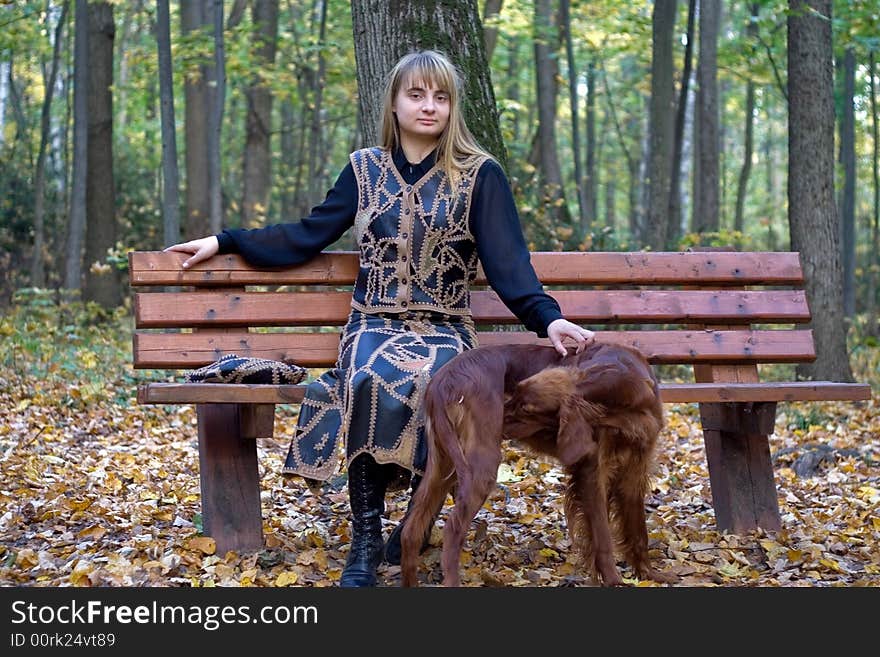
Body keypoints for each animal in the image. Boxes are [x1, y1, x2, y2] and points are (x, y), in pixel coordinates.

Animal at [402, 340, 676, 588]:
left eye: (527, 408)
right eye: (514, 390)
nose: (500, 417)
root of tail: (440, 381)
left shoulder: (635, 467)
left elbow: (638, 531)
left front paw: (649, 574)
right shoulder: (592, 471)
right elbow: (602, 535)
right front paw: (614, 581)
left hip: (443, 465)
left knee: (411, 530)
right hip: (479, 465)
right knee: (451, 531)